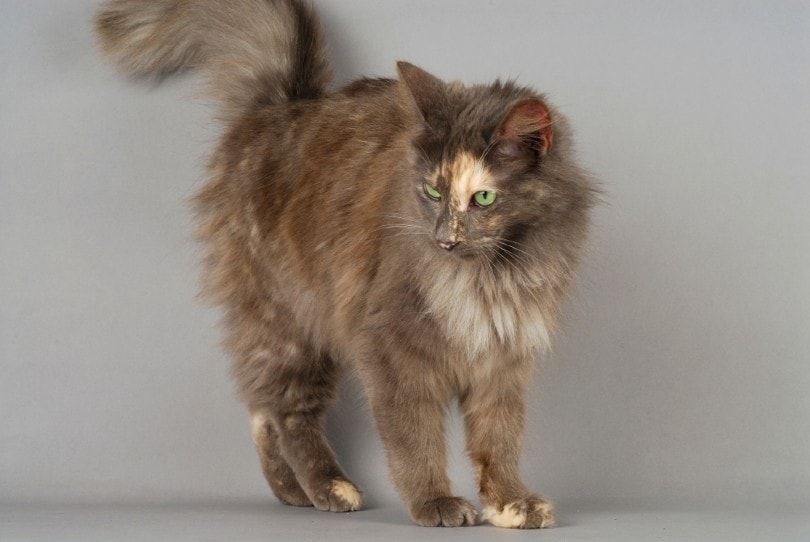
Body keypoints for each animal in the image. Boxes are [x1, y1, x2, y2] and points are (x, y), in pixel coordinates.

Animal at [96, 0, 592, 532]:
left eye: (482, 198)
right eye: (432, 191)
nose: (444, 239)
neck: (491, 276)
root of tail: (279, 106)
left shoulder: (503, 357)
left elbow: (499, 440)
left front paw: (509, 503)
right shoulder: (390, 346)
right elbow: (414, 438)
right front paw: (435, 503)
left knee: (261, 407)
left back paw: (292, 493)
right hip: (289, 320)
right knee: (287, 411)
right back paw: (328, 487)